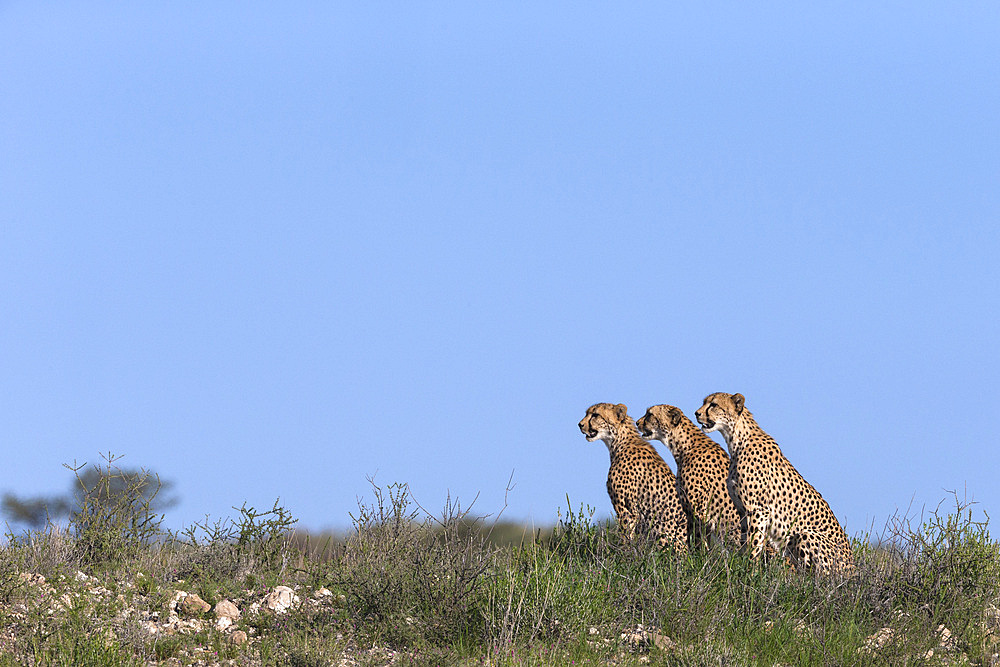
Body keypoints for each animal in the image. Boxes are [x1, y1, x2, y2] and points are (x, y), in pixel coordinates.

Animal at [580, 402, 688, 552]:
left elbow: (626, 537)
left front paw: (623, 554)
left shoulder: (626, 509)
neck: (619, 442)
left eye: (595, 415)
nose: (580, 425)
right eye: (587, 413)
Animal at [696, 392, 852, 576]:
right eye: (704, 402)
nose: (697, 413)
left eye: (713, 404)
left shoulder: (758, 510)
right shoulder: (743, 510)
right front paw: (743, 570)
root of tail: (854, 569)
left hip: (806, 535)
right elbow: (745, 542)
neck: (737, 439)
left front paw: (750, 573)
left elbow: (754, 545)